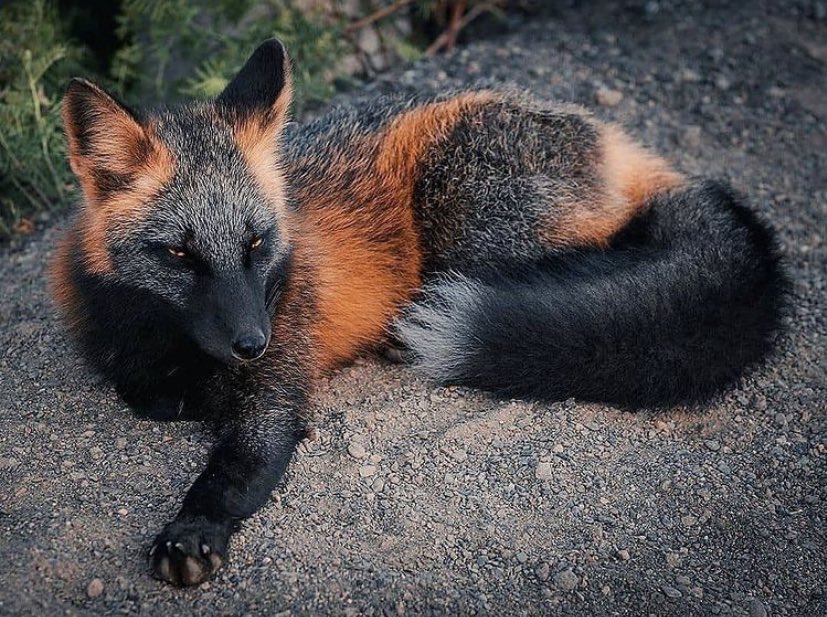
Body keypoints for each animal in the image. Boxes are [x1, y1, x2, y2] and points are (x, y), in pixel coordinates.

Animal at [51, 39, 786, 586]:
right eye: (180, 254)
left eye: (256, 243)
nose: (252, 342)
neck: (172, 343)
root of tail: (613, 139)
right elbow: (143, 393)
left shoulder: (278, 389)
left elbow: (234, 470)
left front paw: (193, 530)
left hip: (467, 224)